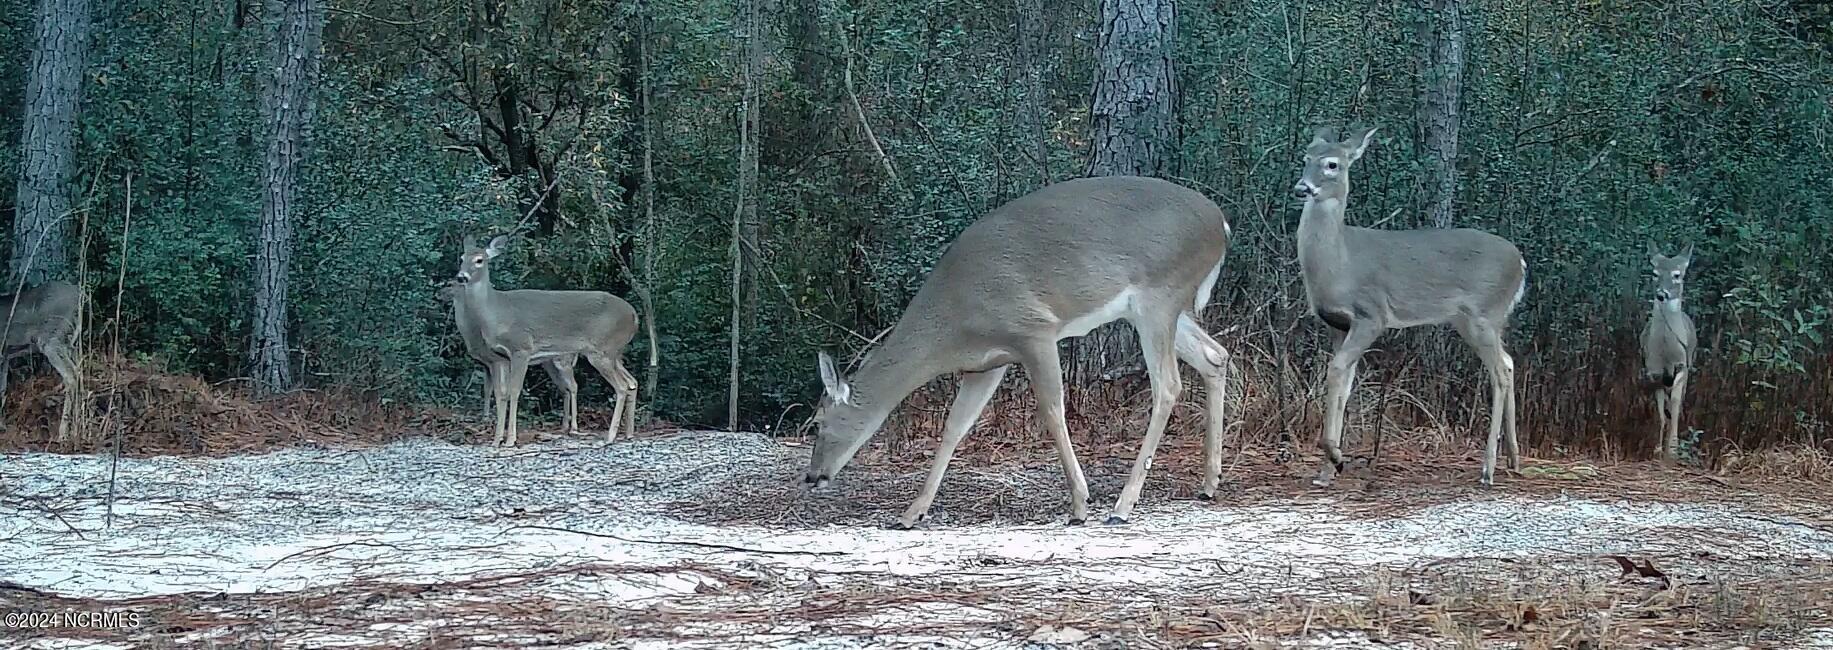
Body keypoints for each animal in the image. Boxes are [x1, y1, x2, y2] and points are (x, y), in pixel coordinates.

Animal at [0, 279, 82, 441]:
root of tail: (79, 295)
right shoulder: (5, 356)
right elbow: (2, 389)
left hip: (52, 338)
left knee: (71, 376)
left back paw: (63, 433)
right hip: (69, 342)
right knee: (79, 369)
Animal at [453, 235, 639, 447]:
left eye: (479, 260)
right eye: (461, 257)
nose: (461, 277)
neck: (497, 313)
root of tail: (634, 316)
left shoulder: (521, 348)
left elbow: (514, 391)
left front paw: (510, 440)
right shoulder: (501, 358)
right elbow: (500, 394)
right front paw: (496, 440)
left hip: (602, 350)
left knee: (621, 387)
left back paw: (609, 437)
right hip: (614, 352)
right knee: (631, 382)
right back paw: (628, 433)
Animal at [805, 175, 1234, 529]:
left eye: (818, 422)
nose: (812, 476)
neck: (952, 323)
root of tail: (1222, 225)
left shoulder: (1032, 329)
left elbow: (1053, 410)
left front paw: (1080, 504)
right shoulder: (987, 363)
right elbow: (955, 426)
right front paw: (913, 512)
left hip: (1159, 296)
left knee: (1169, 384)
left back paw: (1123, 506)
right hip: (1163, 308)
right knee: (1215, 355)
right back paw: (1209, 482)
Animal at [1290, 126, 1528, 487]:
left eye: (1332, 164)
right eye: (1305, 157)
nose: (1303, 187)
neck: (1339, 264)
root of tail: (1522, 263)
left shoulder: (1371, 315)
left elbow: (1336, 372)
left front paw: (1335, 457)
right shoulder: (1337, 324)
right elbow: (1344, 383)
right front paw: (1327, 470)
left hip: (1485, 313)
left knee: (1499, 372)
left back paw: (1487, 469)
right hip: (1473, 320)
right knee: (1509, 361)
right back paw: (1513, 458)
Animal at [1640, 242, 1696, 462]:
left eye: (1677, 275)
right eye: (1654, 273)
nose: (1661, 294)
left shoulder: (1682, 365)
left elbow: (1675, 403)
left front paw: (1672, 449)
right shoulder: (1653, 371)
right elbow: (1660, 413)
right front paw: (1656, 449)